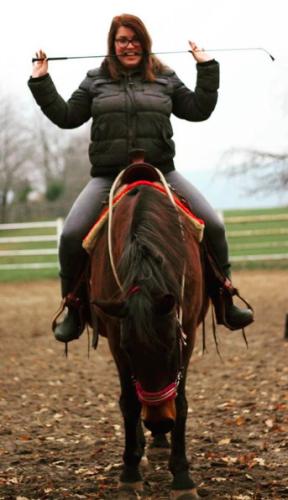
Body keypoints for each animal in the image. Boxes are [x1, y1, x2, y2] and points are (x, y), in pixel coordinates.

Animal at [84, 162, 208, 498]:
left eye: (172, 346)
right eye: (129, 350)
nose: (160, 422)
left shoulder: (188, 332)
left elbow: (181, 401)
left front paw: (182, 477)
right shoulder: (116, 338)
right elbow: (129, 403)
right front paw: (129, 472)